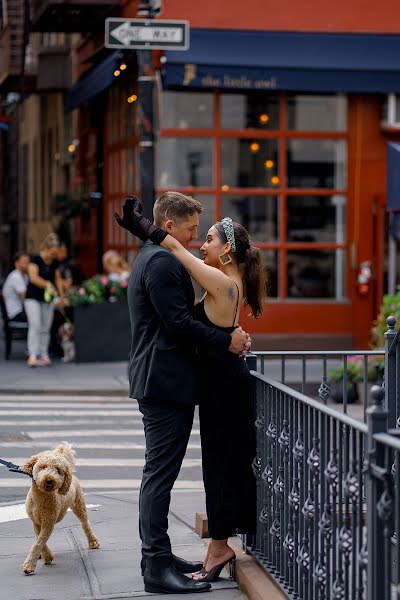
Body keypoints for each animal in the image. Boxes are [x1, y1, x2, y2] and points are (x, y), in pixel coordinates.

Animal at [20, 442, 99, 576]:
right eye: (43, 467)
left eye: (57, 470)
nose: (49, 480)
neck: (41, 497)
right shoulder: (36, 521)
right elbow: (39, 540)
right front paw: (46, 556)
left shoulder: (48, 522)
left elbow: (39, 543)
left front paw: (30, 565)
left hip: (79, 504)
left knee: (85, 523)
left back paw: (93, 541)